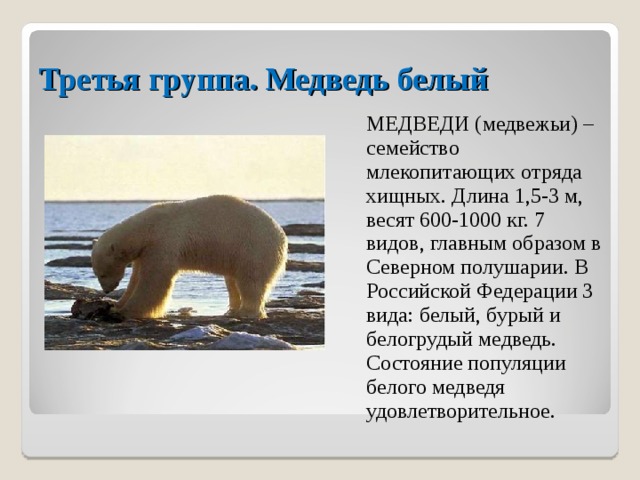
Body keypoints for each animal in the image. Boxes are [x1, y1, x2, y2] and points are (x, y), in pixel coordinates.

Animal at [91, 195, 288, 320]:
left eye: (102, 274)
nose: (106, 290)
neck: (147, 229)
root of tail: (281, 236)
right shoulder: (145, 251)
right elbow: (136, 278)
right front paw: (117, 305)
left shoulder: (164, 242)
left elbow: (154, 279)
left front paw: (128, 310)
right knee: (233, 282)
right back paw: (232, 310)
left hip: (253, 248)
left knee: (250, 280)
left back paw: (246, 312)